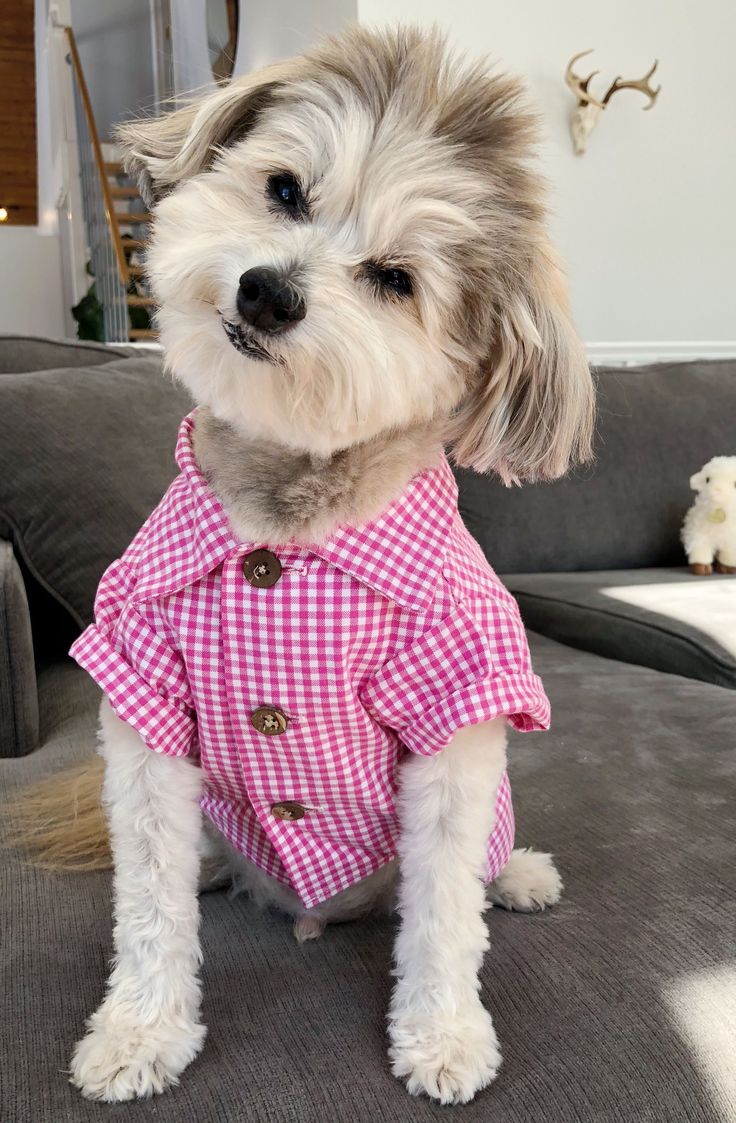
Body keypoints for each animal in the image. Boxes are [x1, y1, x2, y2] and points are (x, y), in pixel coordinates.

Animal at [51, 24, 597, 1105]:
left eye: (394, 278)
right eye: (285, 190)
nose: (267, 289)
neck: (292, 518)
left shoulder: (458, 711)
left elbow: (443, 914)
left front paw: (443, 1034)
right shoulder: (140, 685)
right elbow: (148, 907)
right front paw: (141, 1029)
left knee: (480, 866)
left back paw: (517, 873)